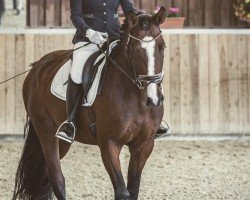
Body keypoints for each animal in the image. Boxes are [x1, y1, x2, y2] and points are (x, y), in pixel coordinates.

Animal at [12, 7, 167, 200]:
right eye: (133, 49)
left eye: (162, 46)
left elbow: (133, 190)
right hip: (45, 131)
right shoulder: (109, 144)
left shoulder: (144, 145)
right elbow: (122, 192)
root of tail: (37, 66)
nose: (153, 99)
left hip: (62, 140)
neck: (135, 97)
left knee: (47, 173)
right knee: (57, 179)